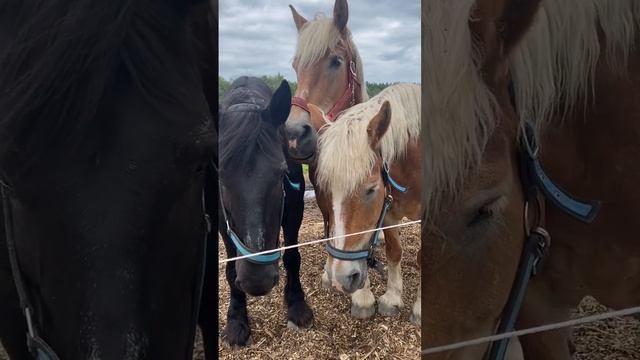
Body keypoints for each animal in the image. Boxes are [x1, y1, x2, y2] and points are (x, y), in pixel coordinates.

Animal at [211, 76, 314, 348]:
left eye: (281, 172)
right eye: (221, 176)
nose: (257, 282)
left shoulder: (294, 213)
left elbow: (292, 257)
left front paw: (297, 304)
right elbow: (230, 268)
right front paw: (236, 319)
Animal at [308, 83, 422, 324]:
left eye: (370, 189)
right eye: (325, 188)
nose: (340, 277)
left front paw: (419, 308)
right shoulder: (389, 213)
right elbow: (394, 251)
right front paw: (391, 297)